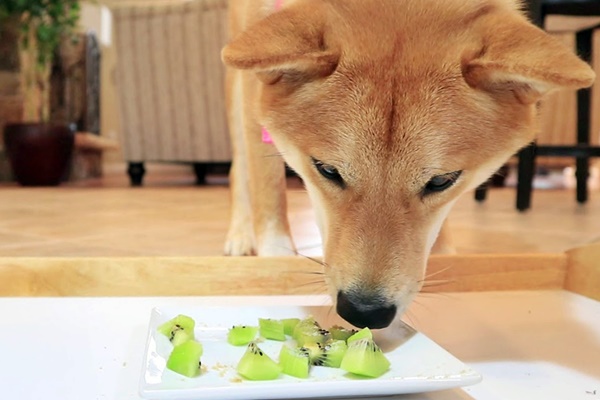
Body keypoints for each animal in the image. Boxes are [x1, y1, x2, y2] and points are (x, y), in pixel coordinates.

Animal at [221, 0, 596, 328]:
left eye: (441, 181)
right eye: (327, 170)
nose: (364, 312)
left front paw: (448, 256)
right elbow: (268, 196)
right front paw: (275, 256)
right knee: (239, 167)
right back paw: (239, 235)